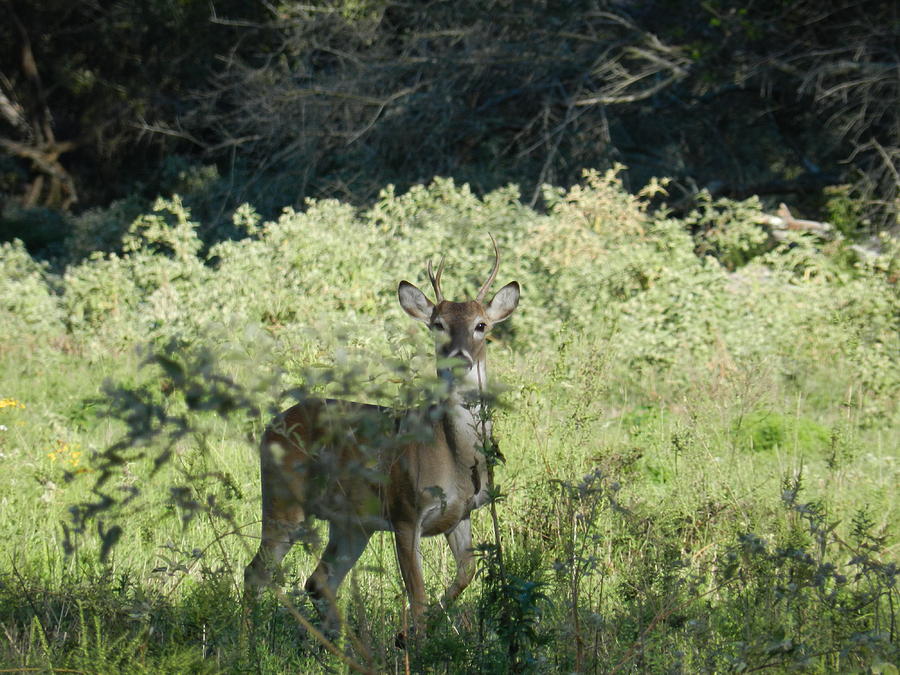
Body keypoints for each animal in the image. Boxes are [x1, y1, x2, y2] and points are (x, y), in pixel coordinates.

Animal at [243, 236, 520, 640]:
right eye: (437, 325)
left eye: (481, 324)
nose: (458, 358)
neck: (454, 456)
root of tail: (272, 424)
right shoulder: (405, 511)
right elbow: (418, 597)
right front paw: (413, 640)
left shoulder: (461, 514)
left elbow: (464, 575)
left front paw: (413, 634)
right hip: (283, 501)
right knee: (257, 572)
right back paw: (247, 642)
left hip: (351, 522)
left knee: (319, 581)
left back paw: (338, 645)